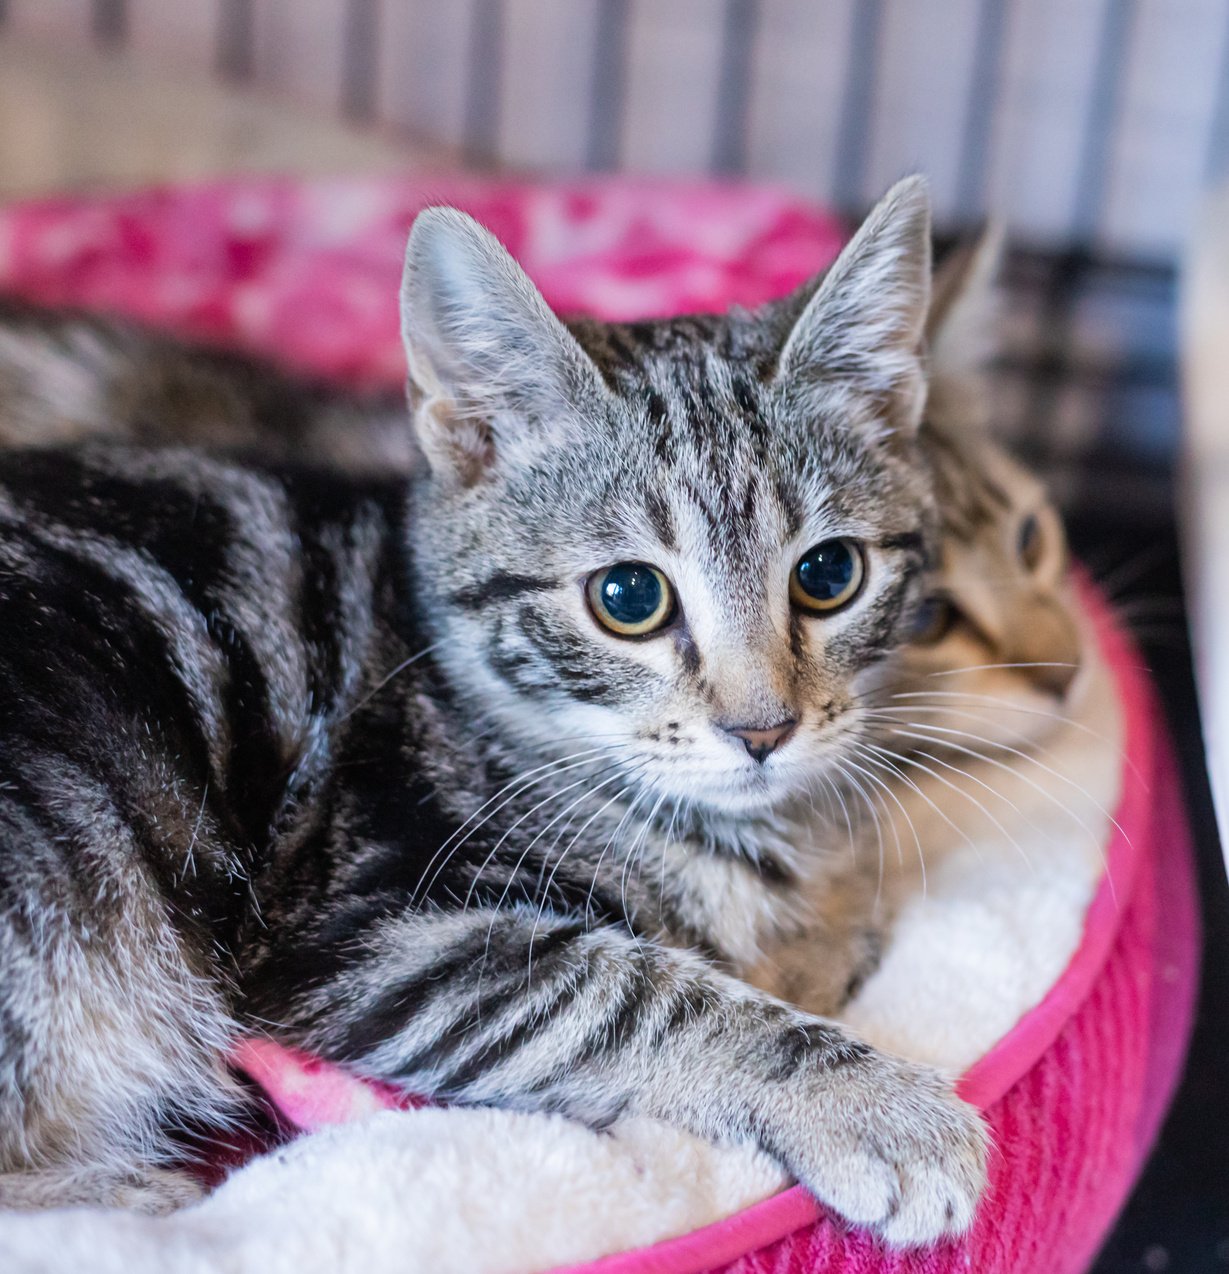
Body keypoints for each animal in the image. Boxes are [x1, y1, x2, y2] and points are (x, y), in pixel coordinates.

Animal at [0, 179, 983, 1243]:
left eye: (828, 574)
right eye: (628, 597)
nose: (762, 730)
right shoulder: (369, 931)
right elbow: (637, 993)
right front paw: (880, 1109)